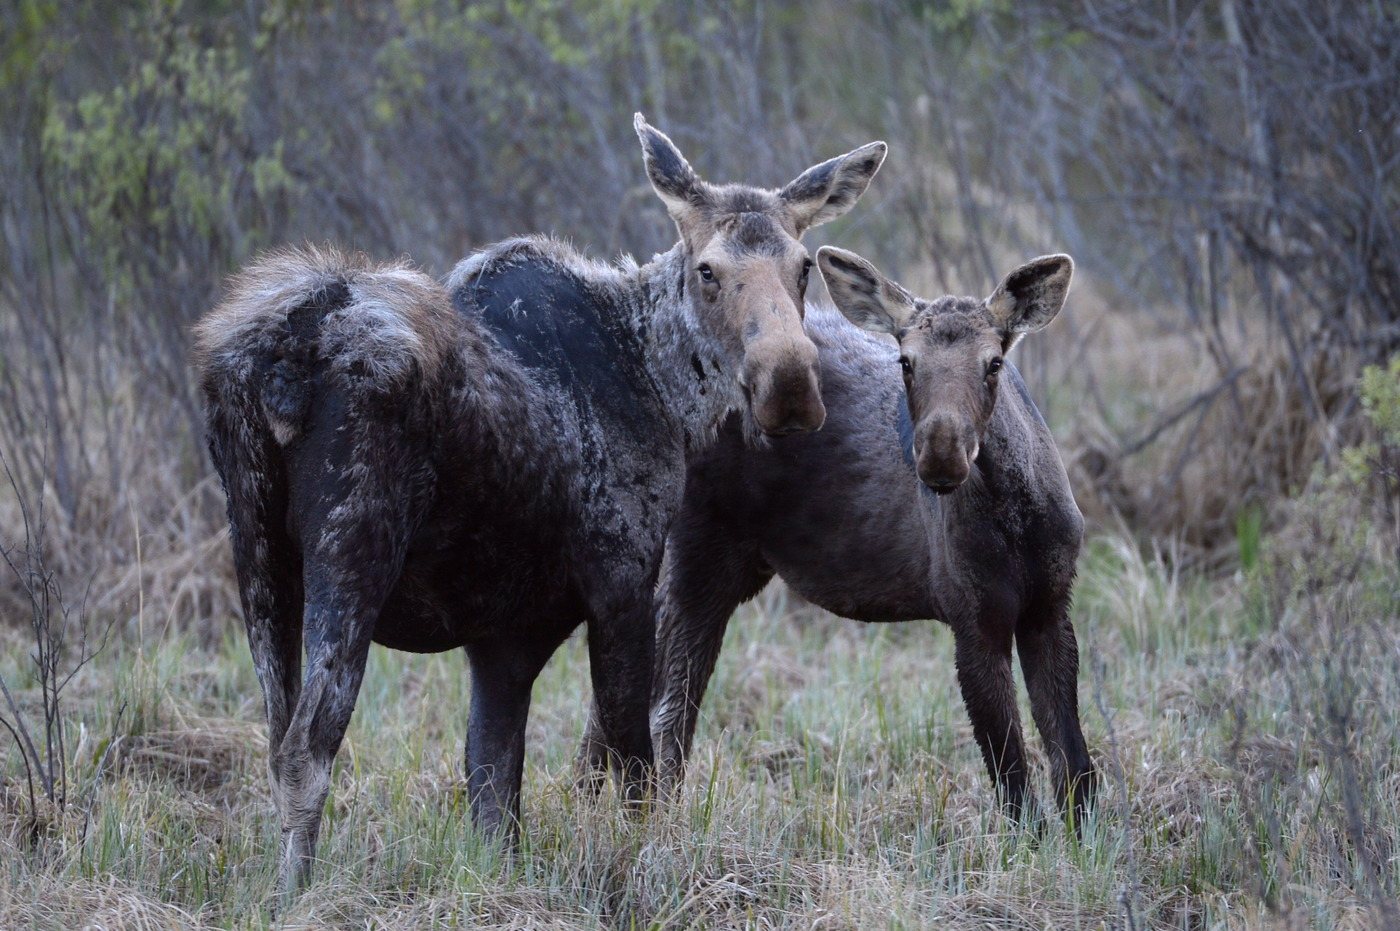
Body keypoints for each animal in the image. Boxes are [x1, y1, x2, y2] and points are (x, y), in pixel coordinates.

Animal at [194, 116, 884, 896]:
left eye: (804, 267)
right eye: (707, 270)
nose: (788, 384)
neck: (662, 386)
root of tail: (279, 355)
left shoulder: (504, 637)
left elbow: (495, 789)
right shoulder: (623, 579)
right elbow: (633, 764)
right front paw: (639, 869)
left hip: (257, 554)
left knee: (275, 738)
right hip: (350, 546)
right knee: (307, 748)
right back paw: (294, 898)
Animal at [607, 243, 1097, 823]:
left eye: (994, 362)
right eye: (905, 360)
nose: (940, 457)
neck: (1019, 521)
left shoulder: (1051, 605)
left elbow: (1074, 765)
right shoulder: (971, 615)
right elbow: (1013, 776)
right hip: (702, 551)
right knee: (671, 704)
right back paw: (649, 817)